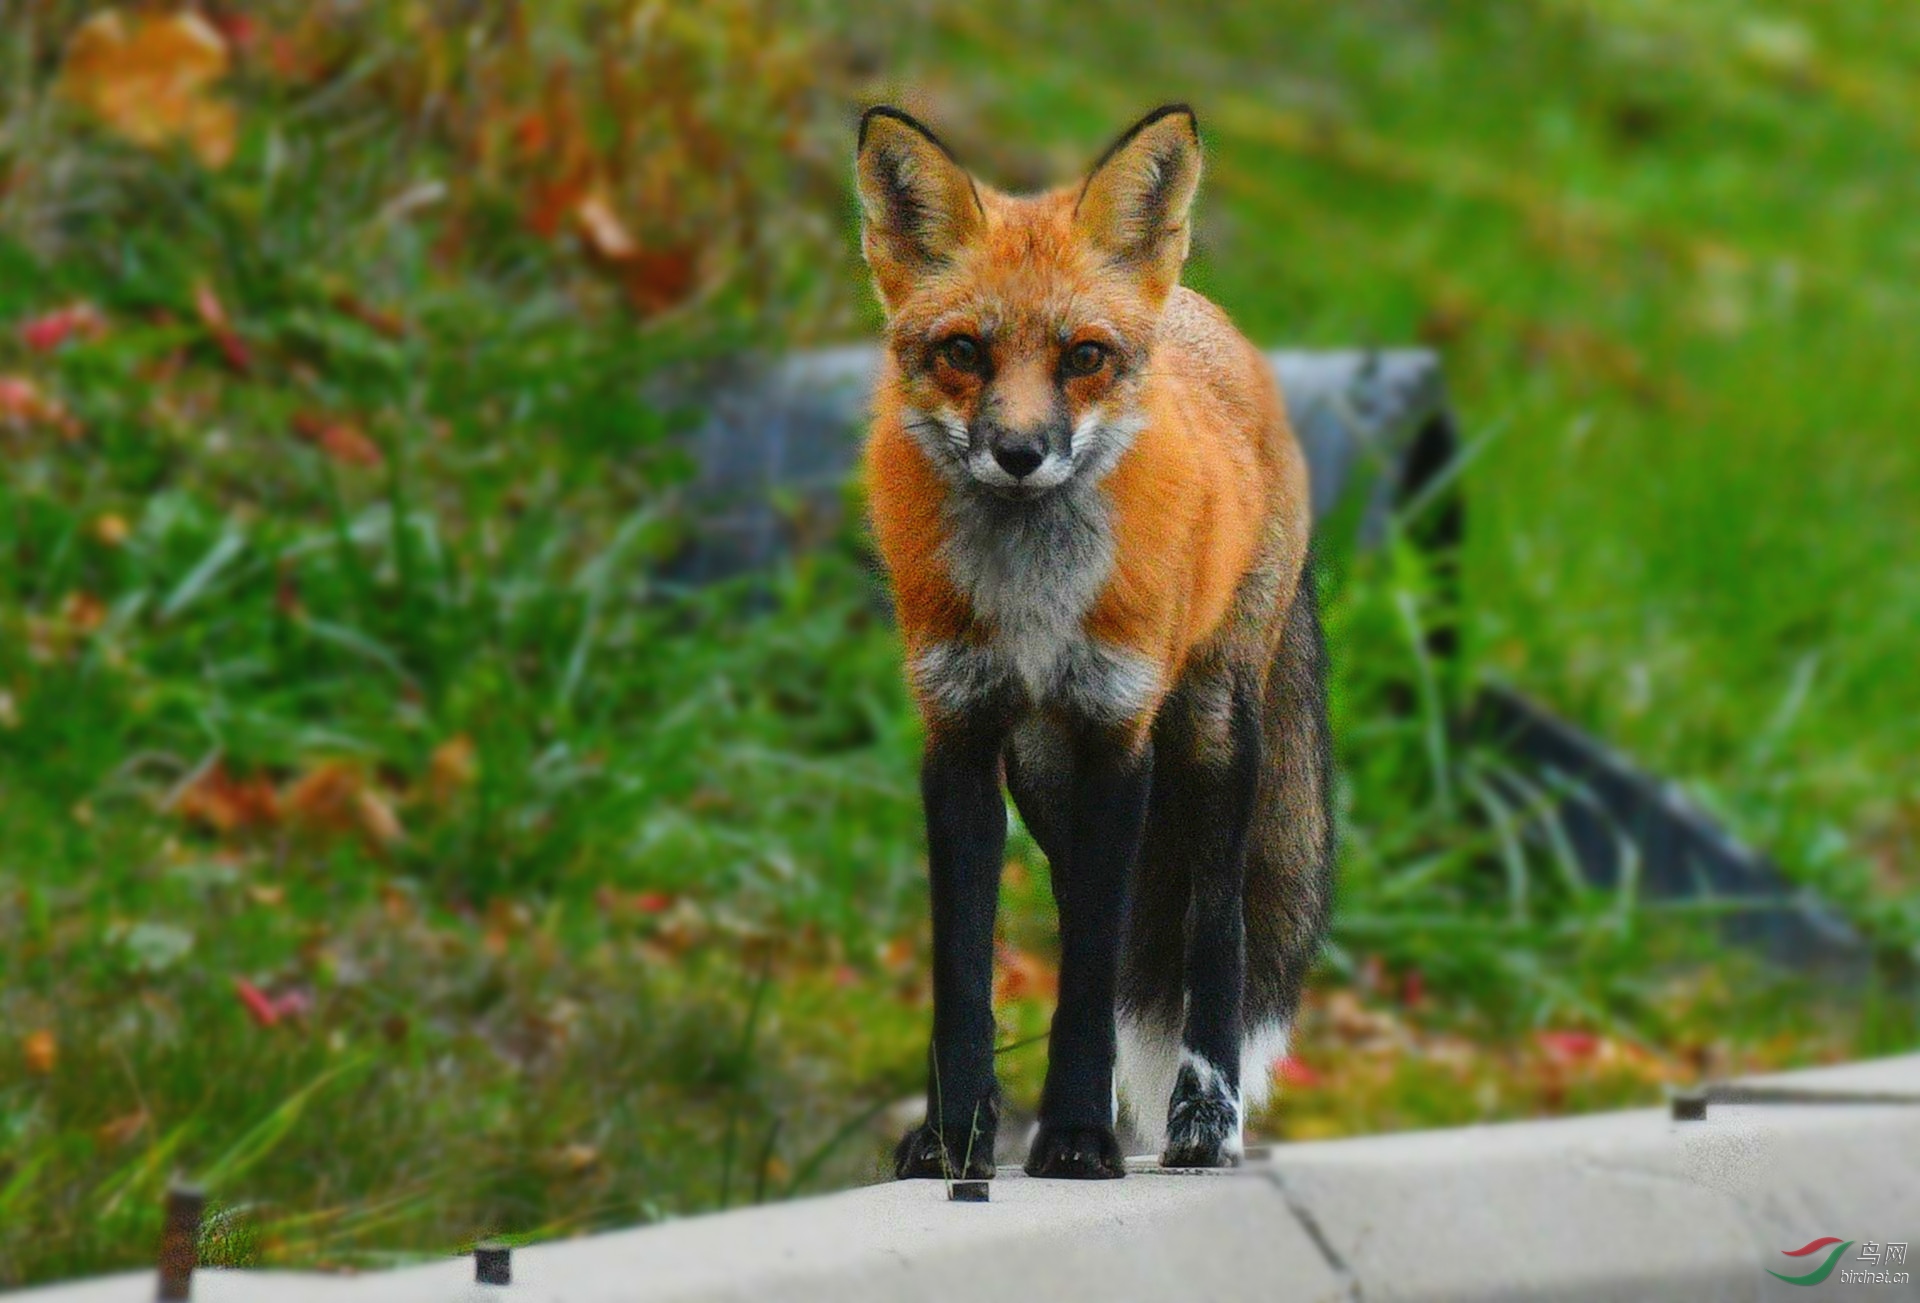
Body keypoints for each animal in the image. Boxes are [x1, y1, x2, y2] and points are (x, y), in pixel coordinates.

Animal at [860, 106, 1328, 1174]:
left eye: (1082, 357)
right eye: (963, 350)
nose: (1020, 453)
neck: (1034, 600)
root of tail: (1205, 310)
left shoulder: (1119, 732)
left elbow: (1100, 970)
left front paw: (1074, 1135)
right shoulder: (960, 736)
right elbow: (971, 976)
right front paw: (953, 1140)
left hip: (1209, 732)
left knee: (1213, 922)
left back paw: (1206, 1121)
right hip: (1042, 769)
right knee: (1091, 922)